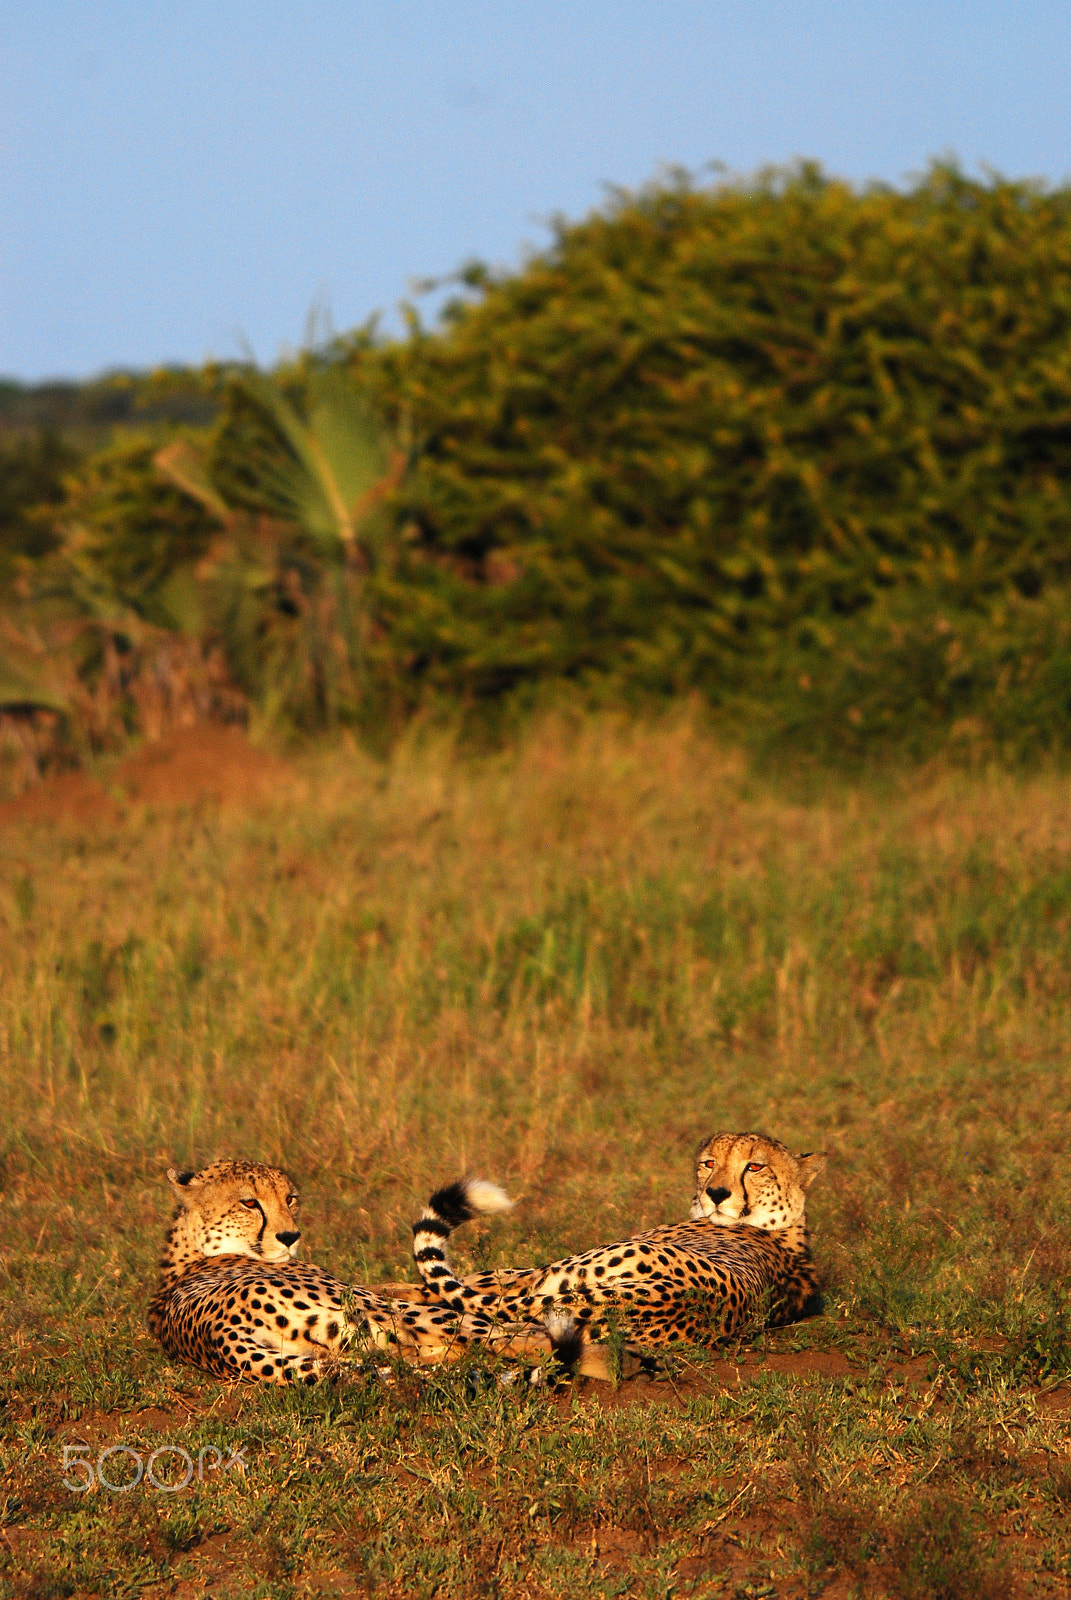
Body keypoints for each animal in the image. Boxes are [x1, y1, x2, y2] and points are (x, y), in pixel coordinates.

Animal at [148, 1159, 563, 1385]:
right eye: (249, 1202)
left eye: (290, 1199)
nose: (290, 1236)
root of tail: (218, 1335)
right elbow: (471, 1286)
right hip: (379, 1312)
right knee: (509, 1339)